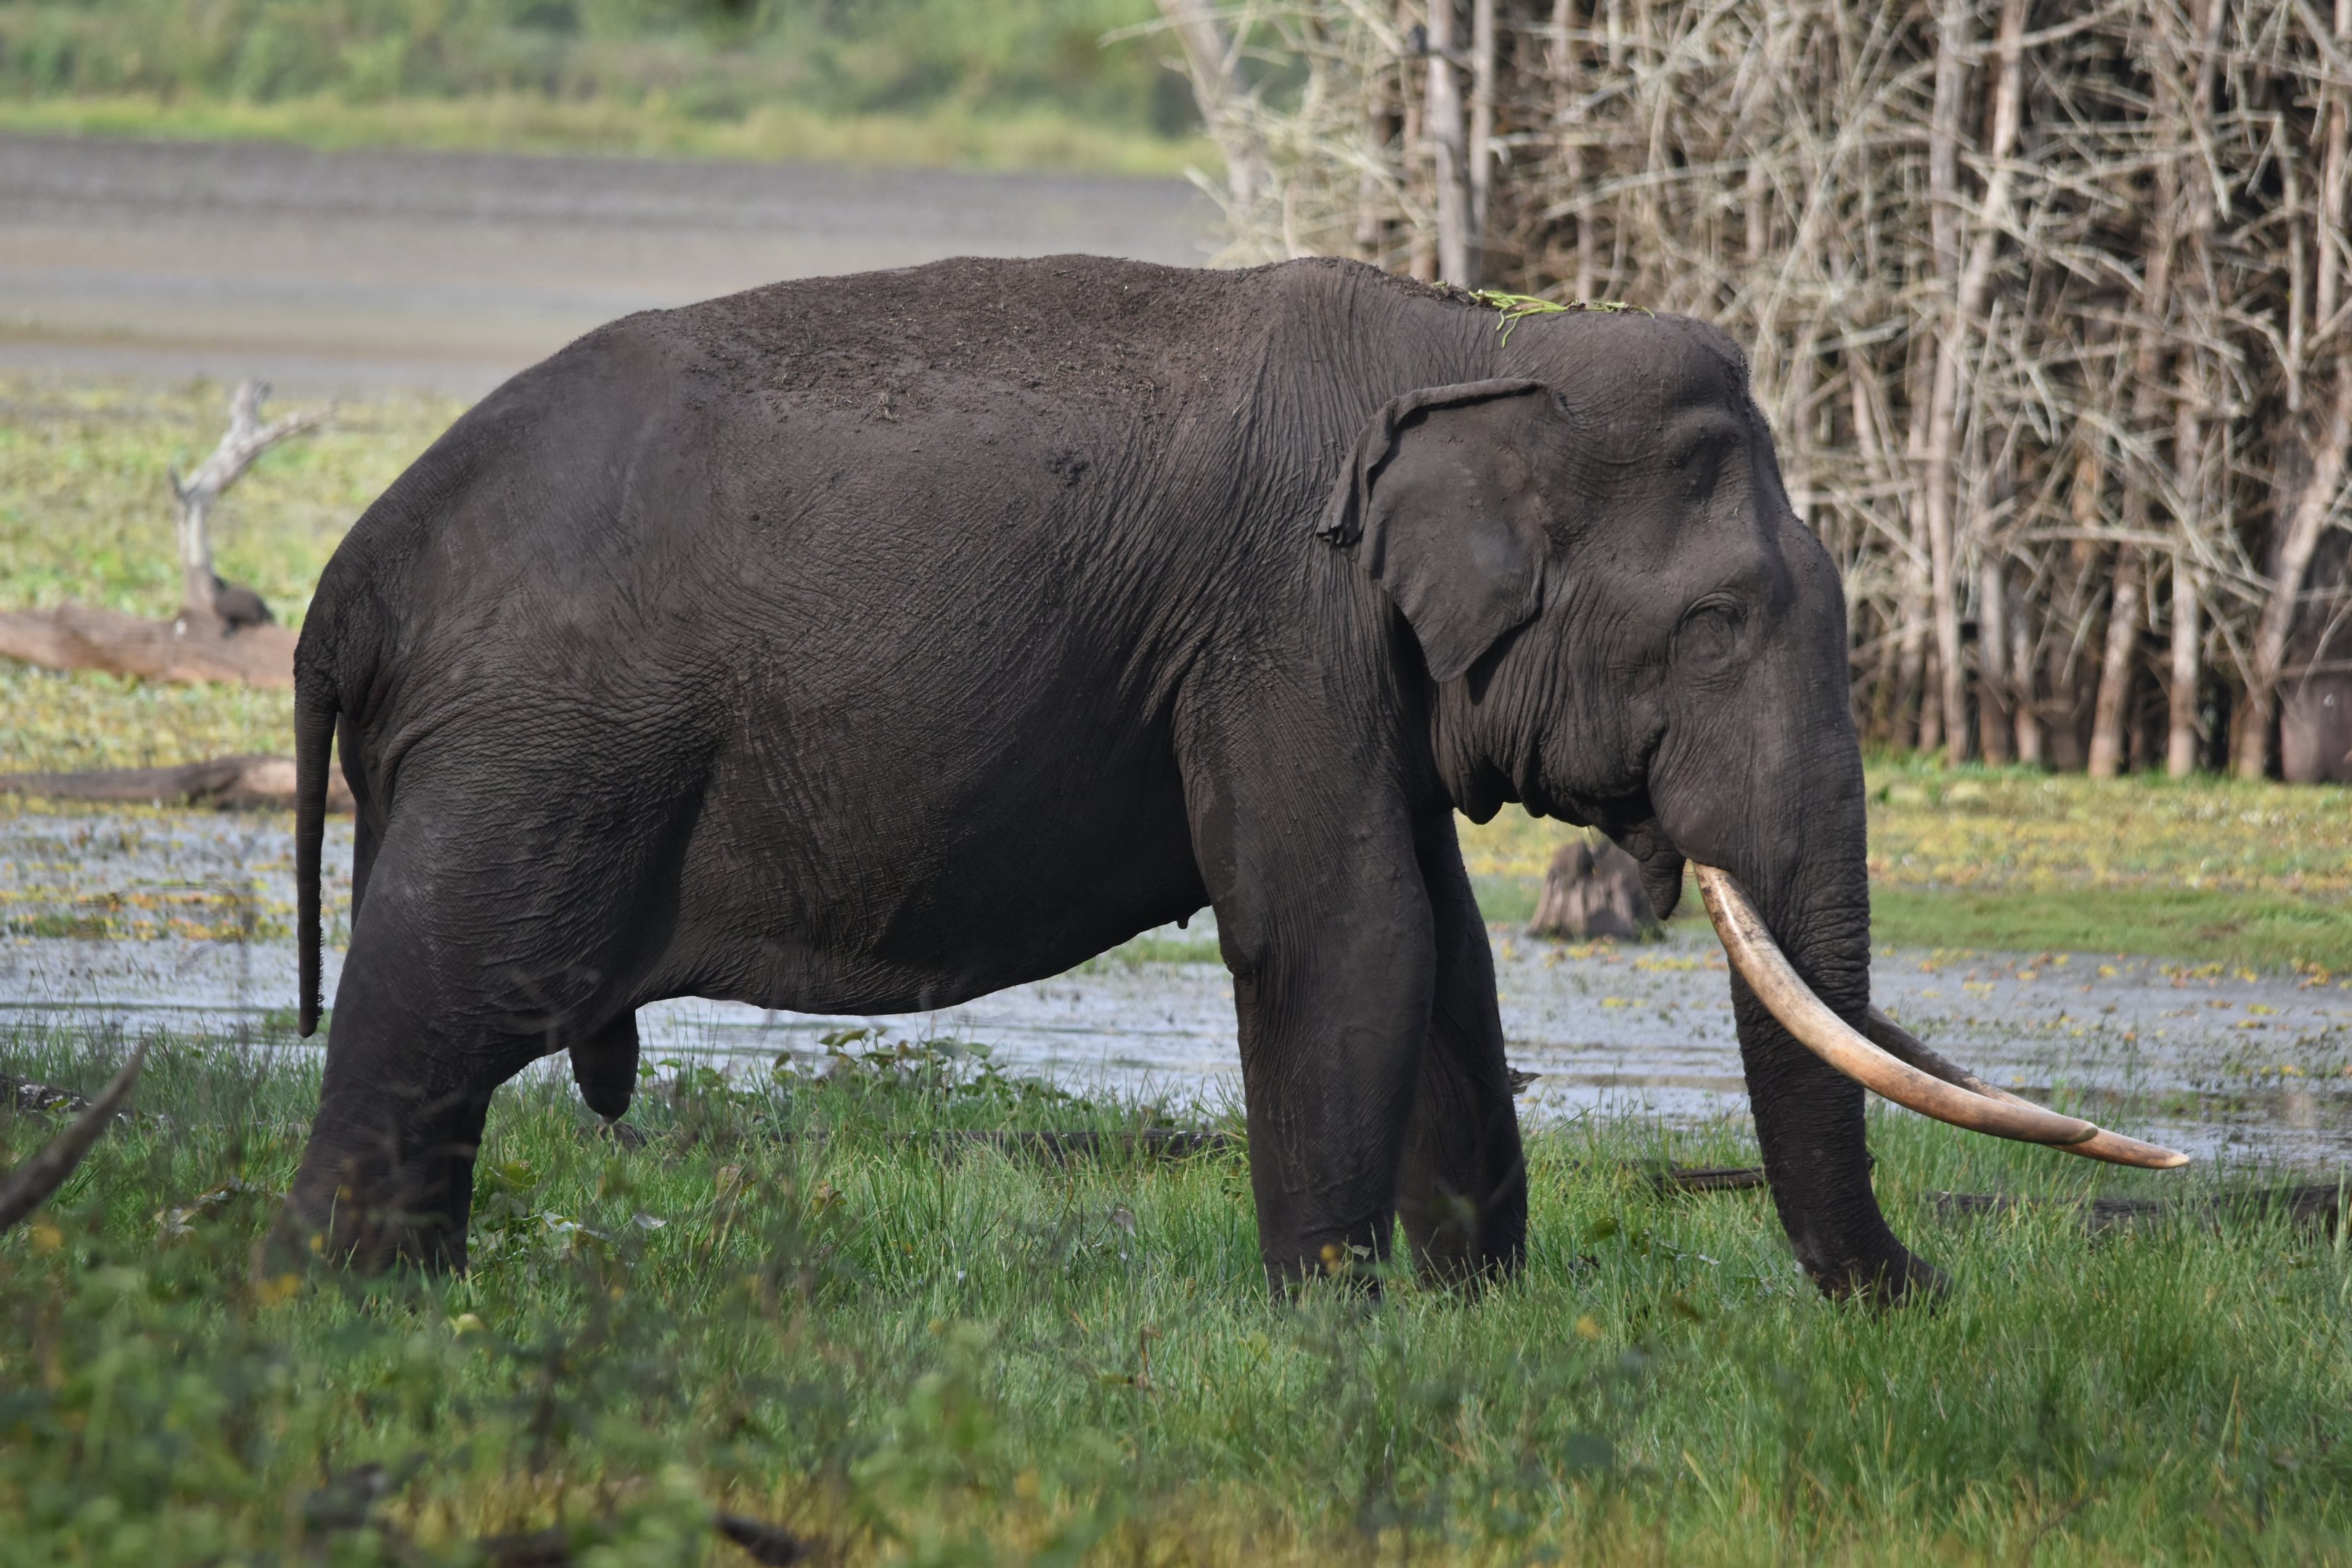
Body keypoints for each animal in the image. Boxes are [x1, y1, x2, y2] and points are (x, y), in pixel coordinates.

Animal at [277, 253, 2180, 1300]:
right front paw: (1333, 1328)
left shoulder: (1362, 661)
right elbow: (1342, 936)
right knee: (433, 1013)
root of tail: (348, 585)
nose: (1940, 1293)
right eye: (1715, 625)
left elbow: (1446, 959)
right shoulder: (1279, 614)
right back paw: (350, 1308)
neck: (1469, 340)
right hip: (540, 753)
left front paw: (1479, 1326)